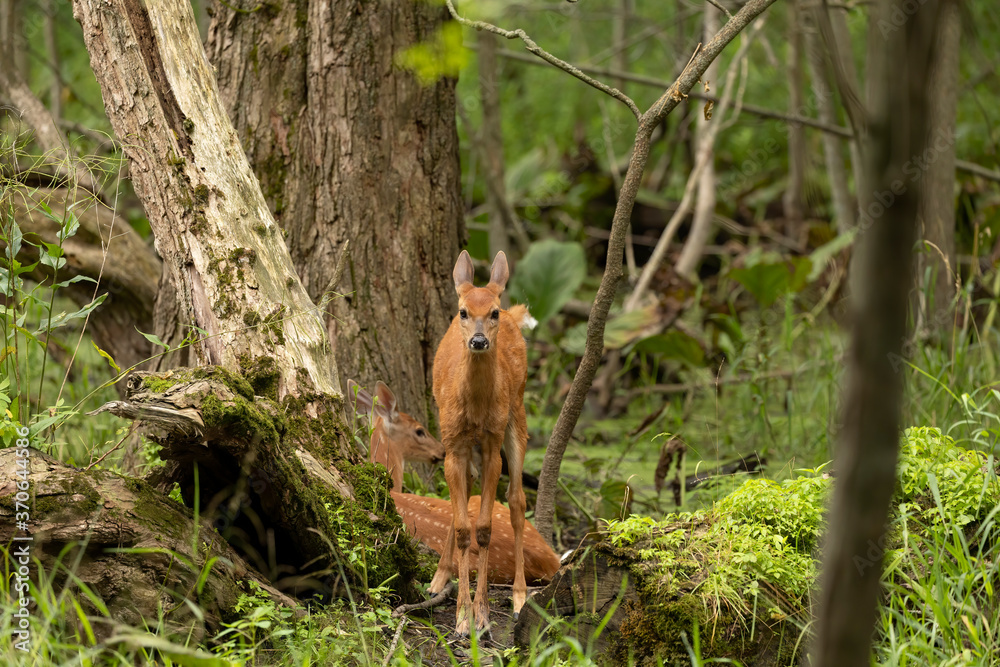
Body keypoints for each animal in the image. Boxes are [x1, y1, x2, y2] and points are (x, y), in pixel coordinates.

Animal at [426, 252, 532, 636]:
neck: (474, 406)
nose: (478, 341)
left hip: (516, 414)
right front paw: (461, 617)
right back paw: (439, 578)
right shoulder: (453, 442)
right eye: (463, 311)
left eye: (493, 312)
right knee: (468, 490)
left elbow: (484, 529)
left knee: (517, 500)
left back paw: (519, 596)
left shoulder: (491, 443)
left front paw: (481, 615)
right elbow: (461, 527)